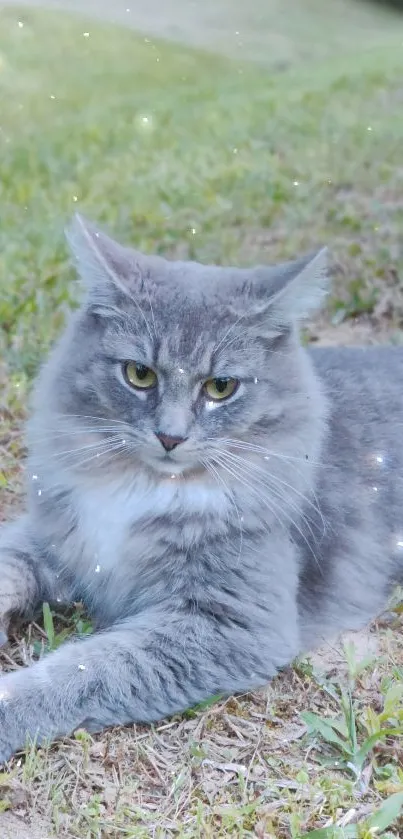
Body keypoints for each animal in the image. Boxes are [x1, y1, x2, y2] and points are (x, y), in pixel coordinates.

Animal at [0, 215, 403, 760]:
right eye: (139, 375)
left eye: (220, 388)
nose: (170, 437)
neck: (142, 488)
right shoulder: (51, 536)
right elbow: (11, 569)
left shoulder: (229, 623)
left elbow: (83, 670)